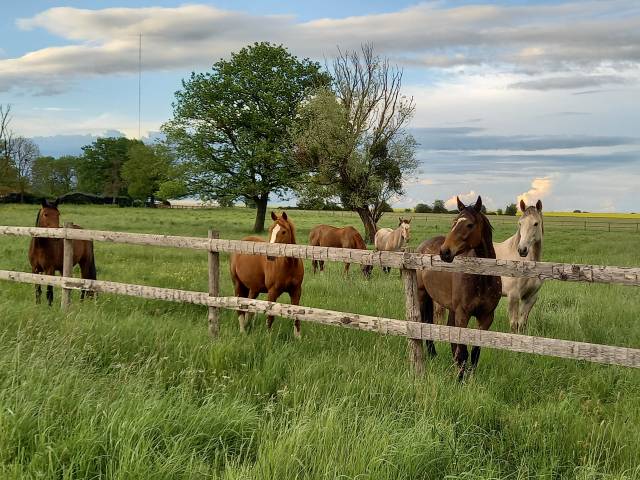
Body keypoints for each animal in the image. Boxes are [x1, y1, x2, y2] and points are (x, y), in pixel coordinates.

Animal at [229, 210, 304, 338]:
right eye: (270, 230)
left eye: (283, 231)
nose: (270, 255)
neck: (289, 265)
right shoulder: (272, 292)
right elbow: (270, 315)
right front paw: (268, 337)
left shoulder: (296, 291)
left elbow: (296, 314)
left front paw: (298, 337)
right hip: (238, 285)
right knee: (240, 308)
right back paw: (243, 331)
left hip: (253, 289)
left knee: (249, 306)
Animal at [418, 197, 502, 380]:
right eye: (454, 222)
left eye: (469, 225)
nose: (445, 252)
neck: (482, 278)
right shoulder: (463, 314)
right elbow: (463, 349)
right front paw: (460, 379)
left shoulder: (486, 317)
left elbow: (475, 350)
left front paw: (470, 377)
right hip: (422, 296)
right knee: (425, 322)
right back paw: (432, 355)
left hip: (451, 308)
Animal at [492, 199, 544, 334]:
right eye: (520, 223)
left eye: (536, 223)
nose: (522, 250)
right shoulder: (513, 297)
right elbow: (513, 325)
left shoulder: (530, 298)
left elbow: (522, 324)